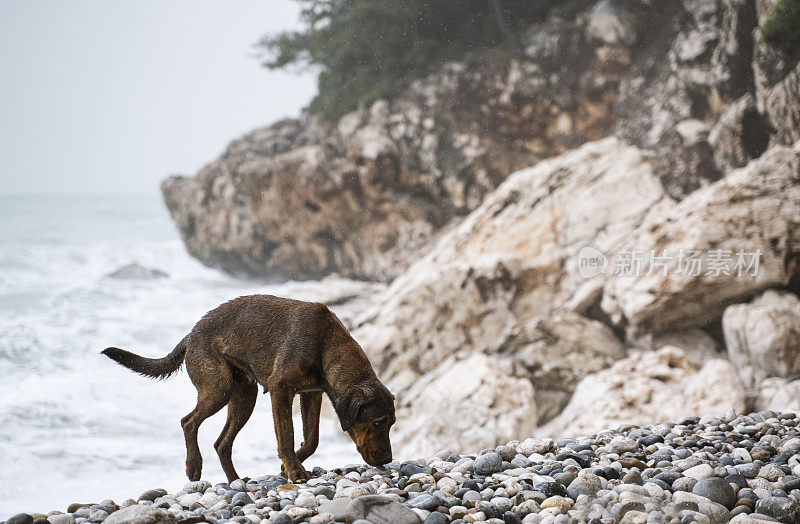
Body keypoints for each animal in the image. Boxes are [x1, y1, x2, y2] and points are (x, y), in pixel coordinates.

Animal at [101, 292, 396, 482]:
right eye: (378, 422)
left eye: (392, 423)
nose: (387, 460)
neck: (326, 344)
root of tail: (191, 335)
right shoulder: (281, 390)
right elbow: (287, 436)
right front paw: (294, 470)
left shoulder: (311, 394)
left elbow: (311, 440)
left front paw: (286, 467)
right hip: (218, 388)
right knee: (189, 422)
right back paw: (193, 466)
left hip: (244, 396)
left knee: (222, 443)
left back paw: (235, 481)